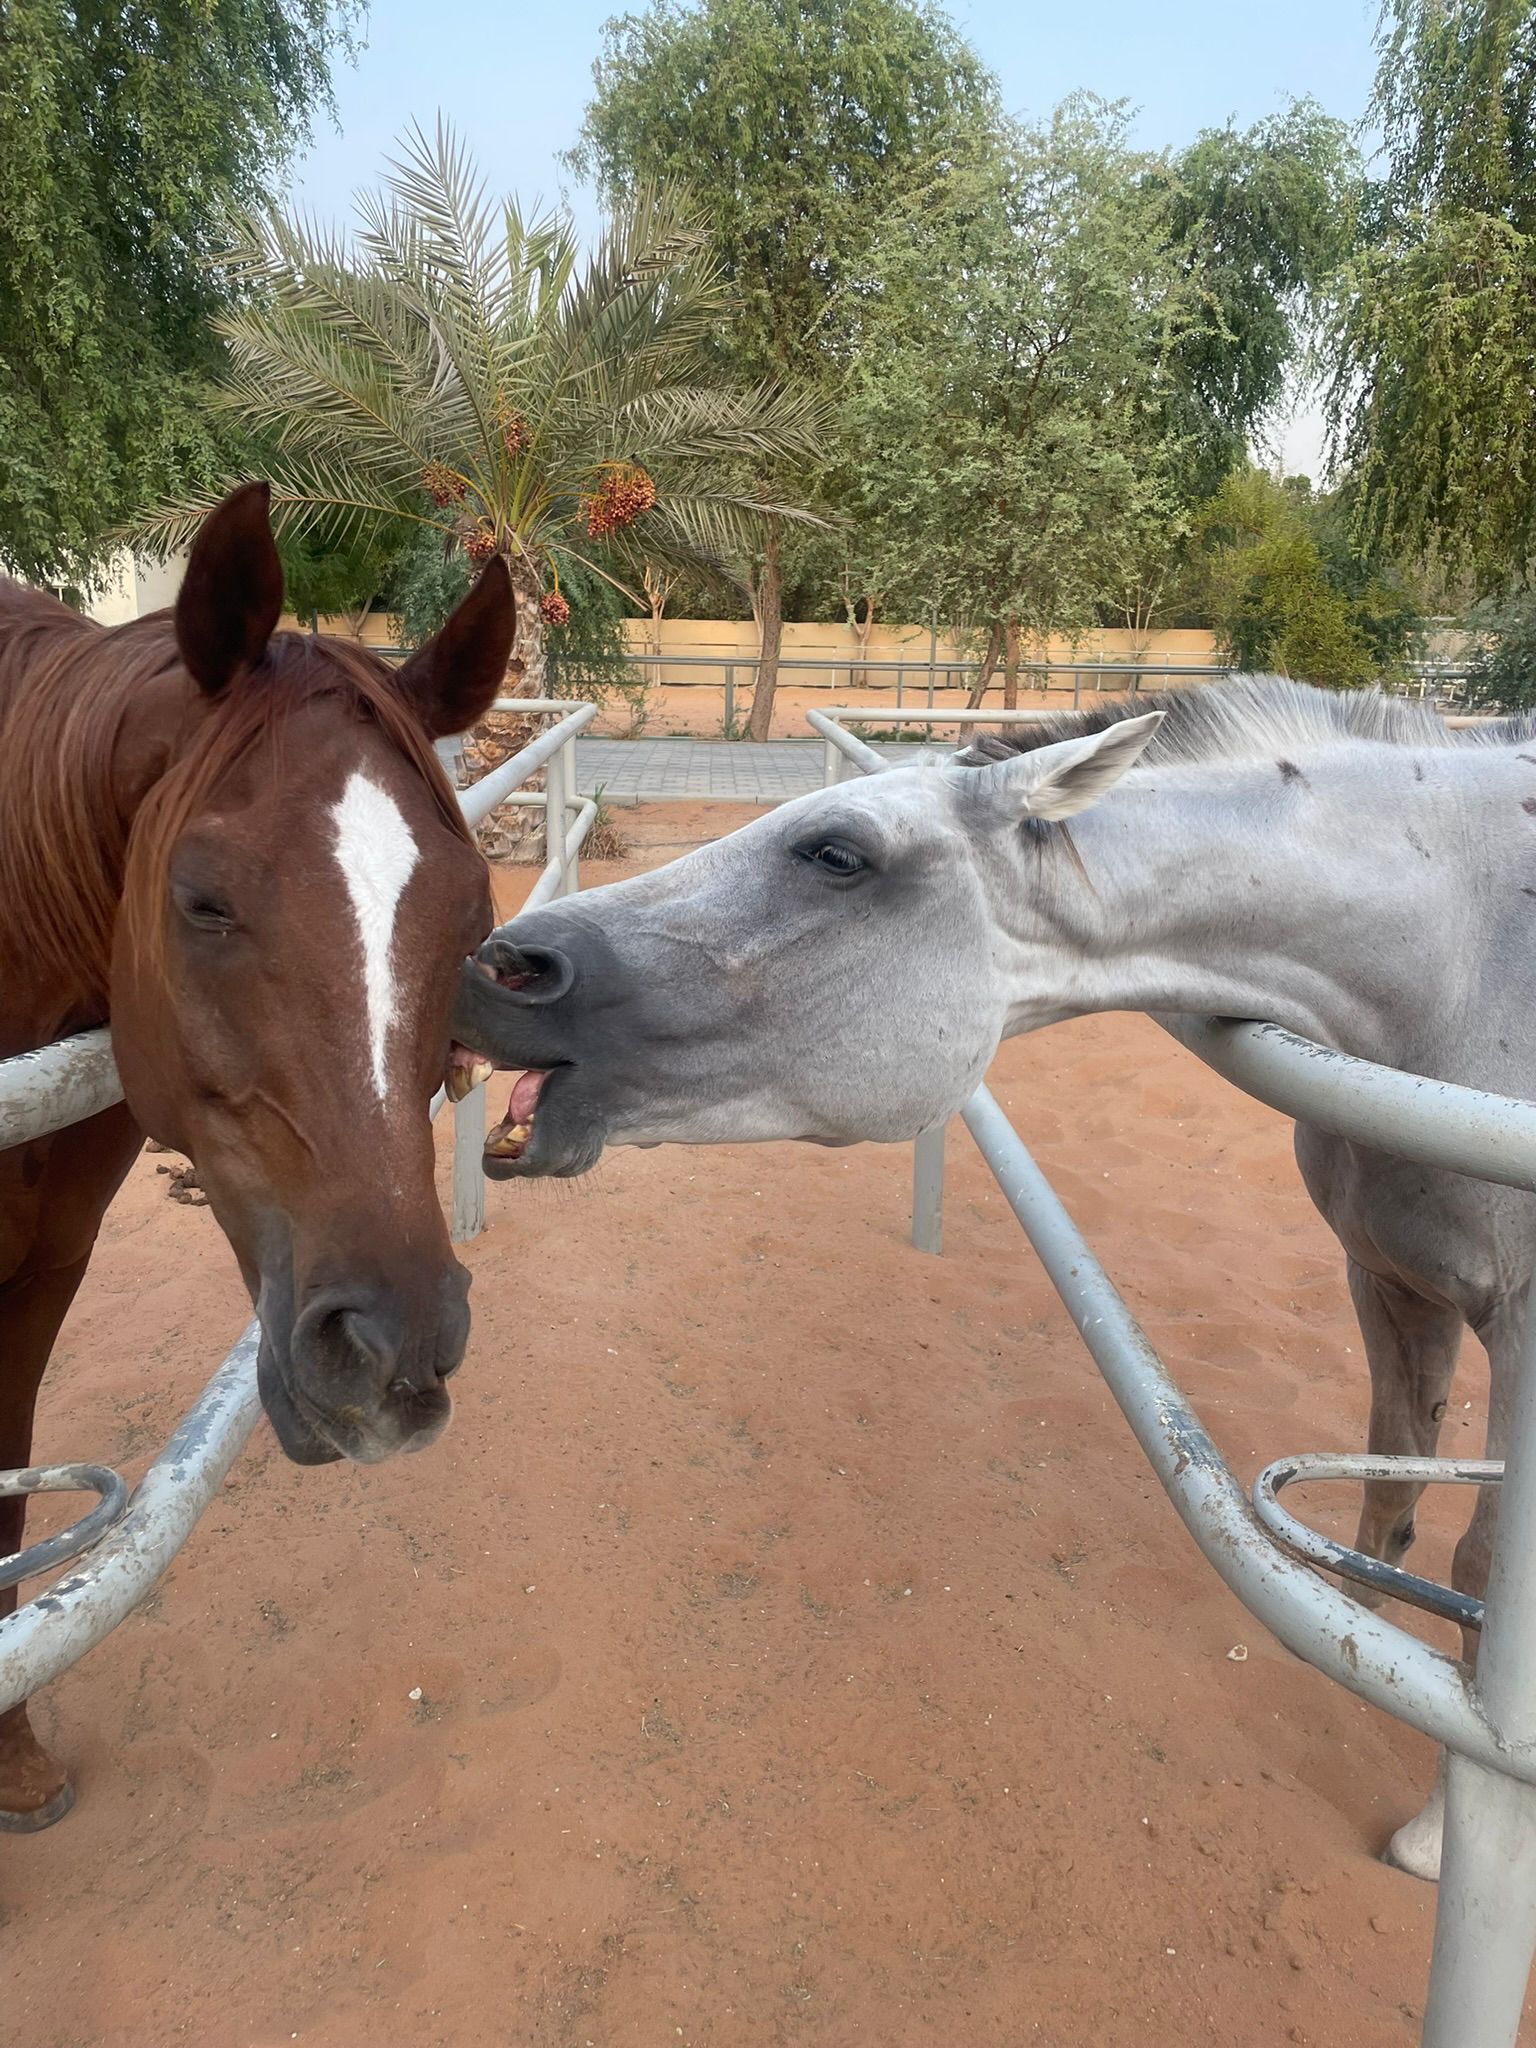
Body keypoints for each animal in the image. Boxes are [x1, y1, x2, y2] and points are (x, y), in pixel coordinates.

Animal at [450, 674, 1536, 1884]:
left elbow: (1486, 1569)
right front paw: (1365, 1660)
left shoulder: (1520, 1335)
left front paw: (1440, 1836)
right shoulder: (1386, 1278)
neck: (1461, 952)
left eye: (838, 853)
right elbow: (1391, 1497)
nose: (499, 965)